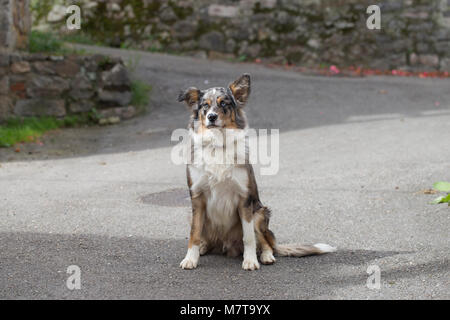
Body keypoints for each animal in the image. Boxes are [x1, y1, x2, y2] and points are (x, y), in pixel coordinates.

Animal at [176, 73, 334, 270]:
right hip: (191, 214)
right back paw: (204, 247)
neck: (218, 144)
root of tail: (224, 244)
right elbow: (194, 233)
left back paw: (266, 256)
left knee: (266, 243)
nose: (211, 117)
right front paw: (191, 258)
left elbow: (249, 237)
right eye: (205, 105)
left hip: (259, 213)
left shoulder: (245, 199)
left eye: (223, 103)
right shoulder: (197, 198)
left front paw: (250, 261)